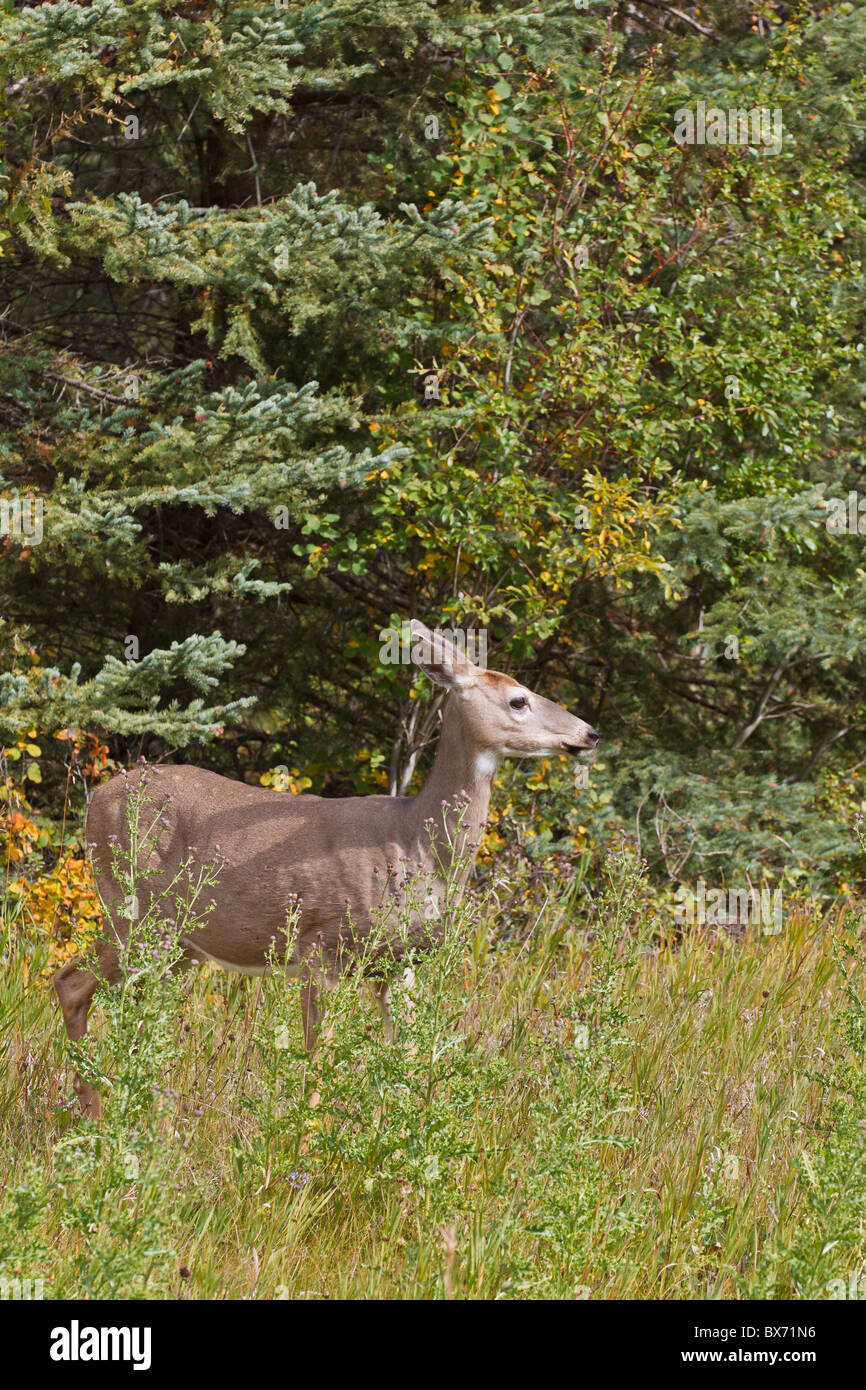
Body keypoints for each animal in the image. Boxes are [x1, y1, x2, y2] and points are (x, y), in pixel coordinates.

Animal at [54, 621, 599, 1115]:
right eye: (518, 700)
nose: (589, 733)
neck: (415, 843)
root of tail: (96, 799)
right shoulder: (324, 943)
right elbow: (318, 1057)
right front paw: (306, 1140)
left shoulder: (401, 962)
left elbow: (404, 1056)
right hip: (137, 910)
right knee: (72, 983)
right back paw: (96, 1119)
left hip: (182, 944)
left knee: (140, 1009)